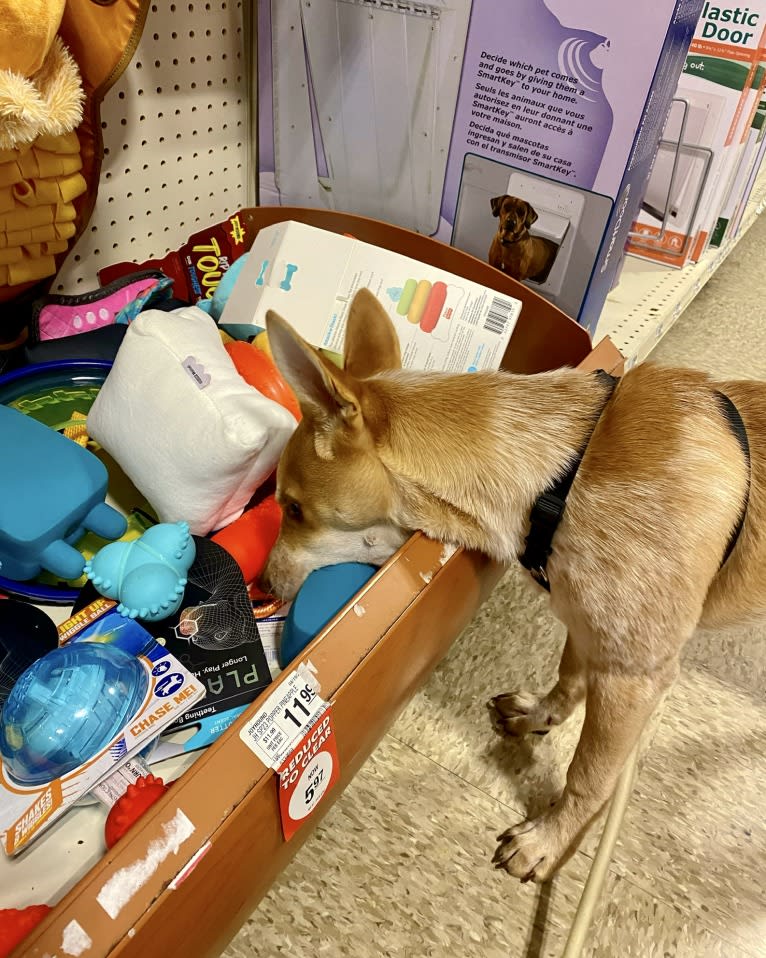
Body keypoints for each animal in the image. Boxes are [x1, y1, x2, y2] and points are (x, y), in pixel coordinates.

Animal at [262, 290, 760, 884]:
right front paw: (542, 717)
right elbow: (567, 683)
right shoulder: (584, 620)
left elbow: (588, 778)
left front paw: (550, 839)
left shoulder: (634, 676)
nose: (263, 584)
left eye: (293, 508)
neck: (562, 476)